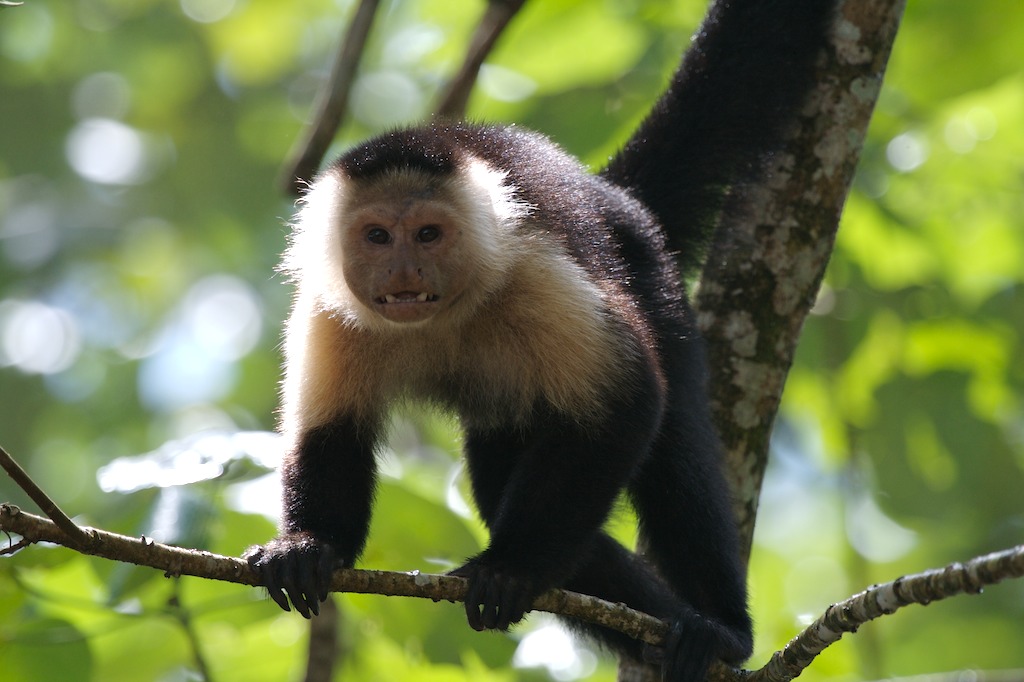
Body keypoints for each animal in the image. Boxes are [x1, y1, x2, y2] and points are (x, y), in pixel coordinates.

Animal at [245, 0, 837, 679]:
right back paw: (655, 632)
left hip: (654, 281)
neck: (439, 319)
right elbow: (330, 433)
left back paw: (714, 630)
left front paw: (511, 569)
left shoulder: (536, 270)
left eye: (427, 234)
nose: (403, 273)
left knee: (673, 454)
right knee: (504, 479)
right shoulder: (329, 311)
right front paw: (309, 547)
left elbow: (625, 405)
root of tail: (613, 195)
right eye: (376, 237)